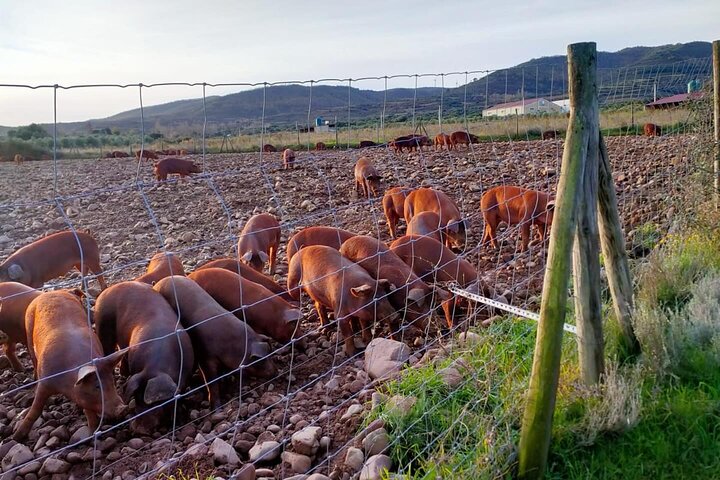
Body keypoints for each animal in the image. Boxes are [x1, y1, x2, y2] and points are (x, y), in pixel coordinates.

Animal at [14, 290, 126, 441]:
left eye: (112, 382)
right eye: (97, 386)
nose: (122, 409)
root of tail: (53, 291)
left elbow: (89, 411)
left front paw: (92, 435)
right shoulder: (46, 382)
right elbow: (35, 410)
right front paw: (16, 437)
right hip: (29, 332)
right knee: (33, 359)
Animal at [154, 276, 276, 408]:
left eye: (270, 353)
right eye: (259, 360)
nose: (276, 371)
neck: (232, 345)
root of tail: (158, 282)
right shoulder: (206, 357)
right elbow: (212, 381)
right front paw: (217, 407)